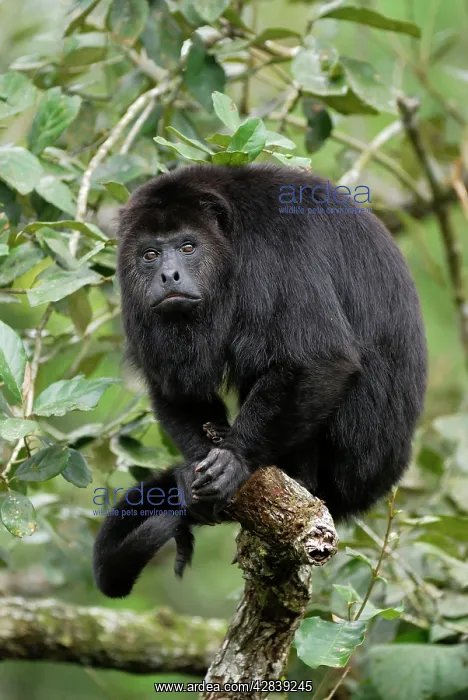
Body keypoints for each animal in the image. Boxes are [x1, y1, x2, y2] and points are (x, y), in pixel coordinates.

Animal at [92, 163, 427, 598]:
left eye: (188, 247)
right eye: (149, 254)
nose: (168, 275)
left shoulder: (279, 248)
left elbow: (318, 359)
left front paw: (236, 460)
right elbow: (176, 388)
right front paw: (193, 473)